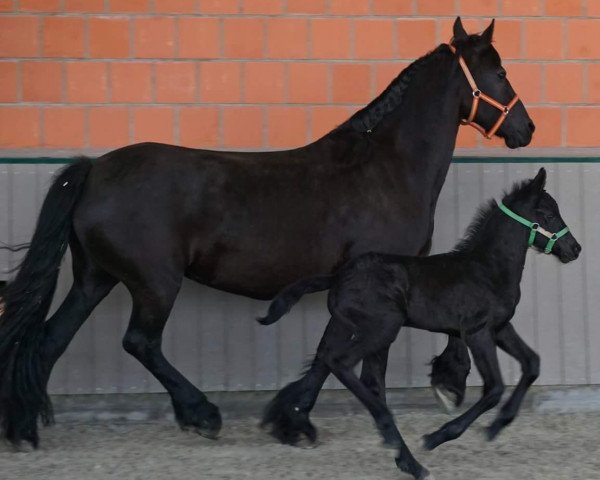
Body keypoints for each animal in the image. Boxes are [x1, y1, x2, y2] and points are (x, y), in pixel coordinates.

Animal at [0, 16, 532, 448]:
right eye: (502, 74)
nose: (526, 128)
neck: (386, 167)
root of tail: (94, 170)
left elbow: (345, 355)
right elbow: (335, 354)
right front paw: (296, 422)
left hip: (96, 277)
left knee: (50, 340)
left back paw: (23, 430)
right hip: (154, 282)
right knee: (139, 342)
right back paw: (201, 414)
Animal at [258, 168, 580, 476]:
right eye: (548, 213)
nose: (574, 249)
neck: (487, 268)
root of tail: (337, 276)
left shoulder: (500, 328)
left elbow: (532, 363)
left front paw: (498, 425)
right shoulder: (477, 332)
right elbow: (494, 388)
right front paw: (438, 436)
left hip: (347, 328)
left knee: (334, 367)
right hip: (382, 329)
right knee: (342, 364)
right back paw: (403, 451)